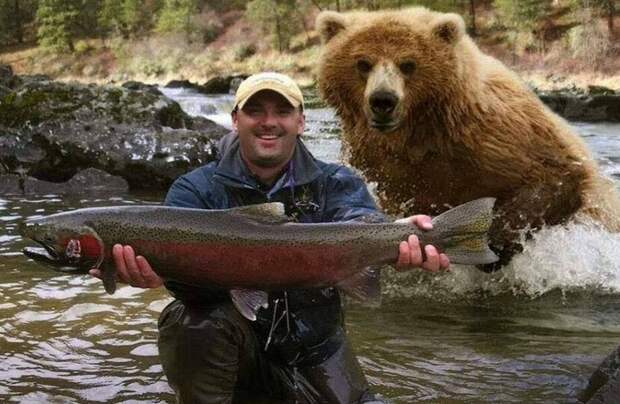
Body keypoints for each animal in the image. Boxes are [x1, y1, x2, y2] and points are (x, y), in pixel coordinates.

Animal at [318, 6, 620, 270]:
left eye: (408, 64)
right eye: (363, 63)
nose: (383, 100)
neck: (420, 132)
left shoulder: (497, 137)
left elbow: (555, 174)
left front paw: (494, 244)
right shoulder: (378, 161)